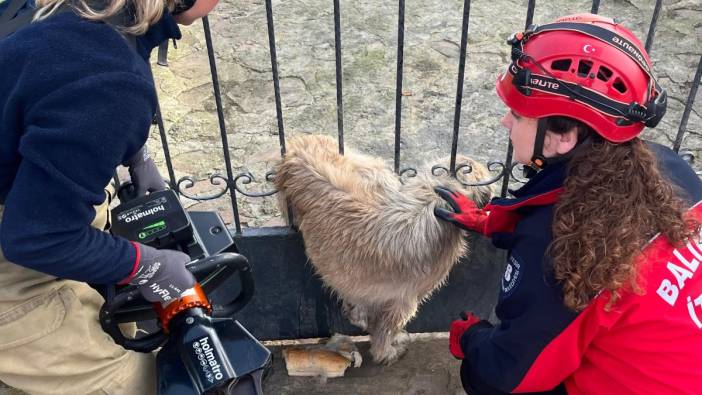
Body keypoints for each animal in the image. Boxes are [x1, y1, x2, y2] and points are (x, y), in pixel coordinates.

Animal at [272, 135, 492, 366]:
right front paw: (387, 351)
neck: (432, 200)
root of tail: (301, 144)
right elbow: (385, 329)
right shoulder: (405, 300)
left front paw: (358, 317)